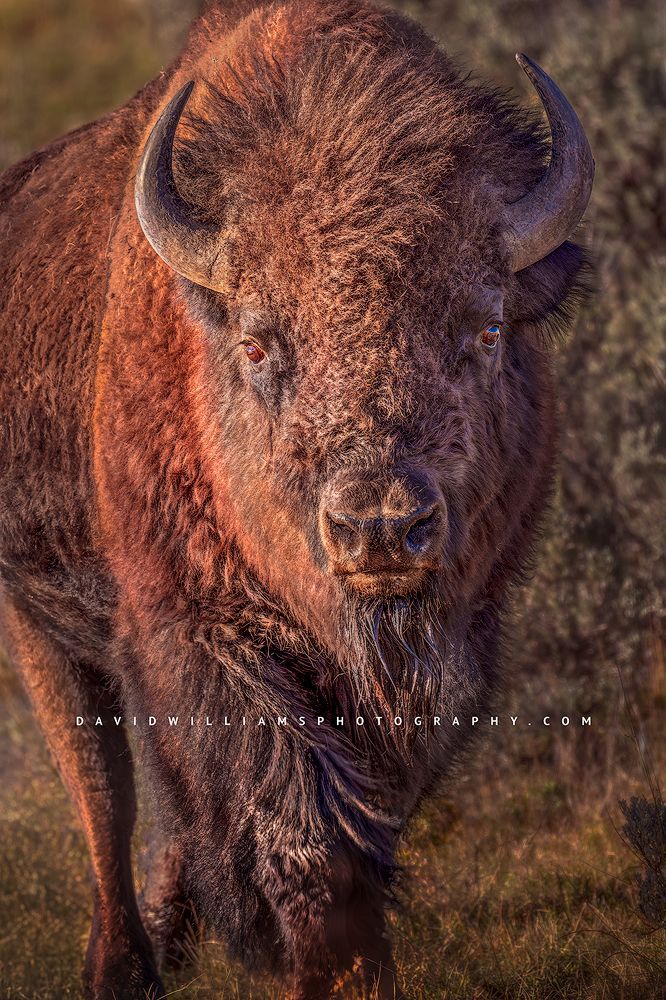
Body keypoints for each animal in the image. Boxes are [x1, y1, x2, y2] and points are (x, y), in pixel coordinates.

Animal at [0, 0, 593, 996]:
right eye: (257, 342)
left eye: (485, 328)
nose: (380, 527)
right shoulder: (203, 631)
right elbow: (290, 817)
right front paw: (319, 961)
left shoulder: (446, 652)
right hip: (39, 625)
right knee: (102, 791)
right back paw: (123, 967)